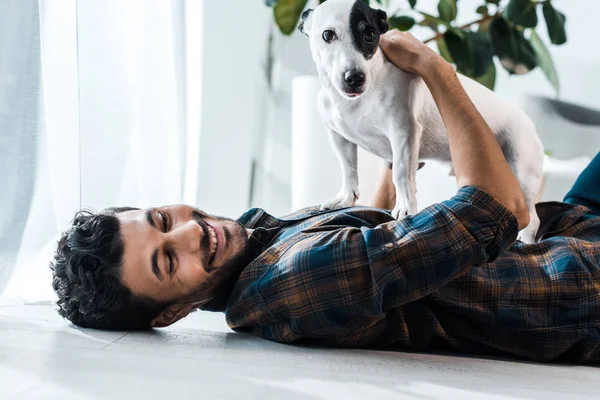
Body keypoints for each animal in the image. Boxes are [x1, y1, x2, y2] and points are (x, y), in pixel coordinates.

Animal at [298, 0, 544, 242]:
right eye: (328, 35)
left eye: (370, 34)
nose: (355, 78)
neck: (357, 101)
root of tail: (530, 123)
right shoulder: (340, 138)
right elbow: (349, 170)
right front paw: (346, 198)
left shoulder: (403, 133)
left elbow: (400, 174)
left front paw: (405, 208)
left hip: (522, 172)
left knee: (532, 221)